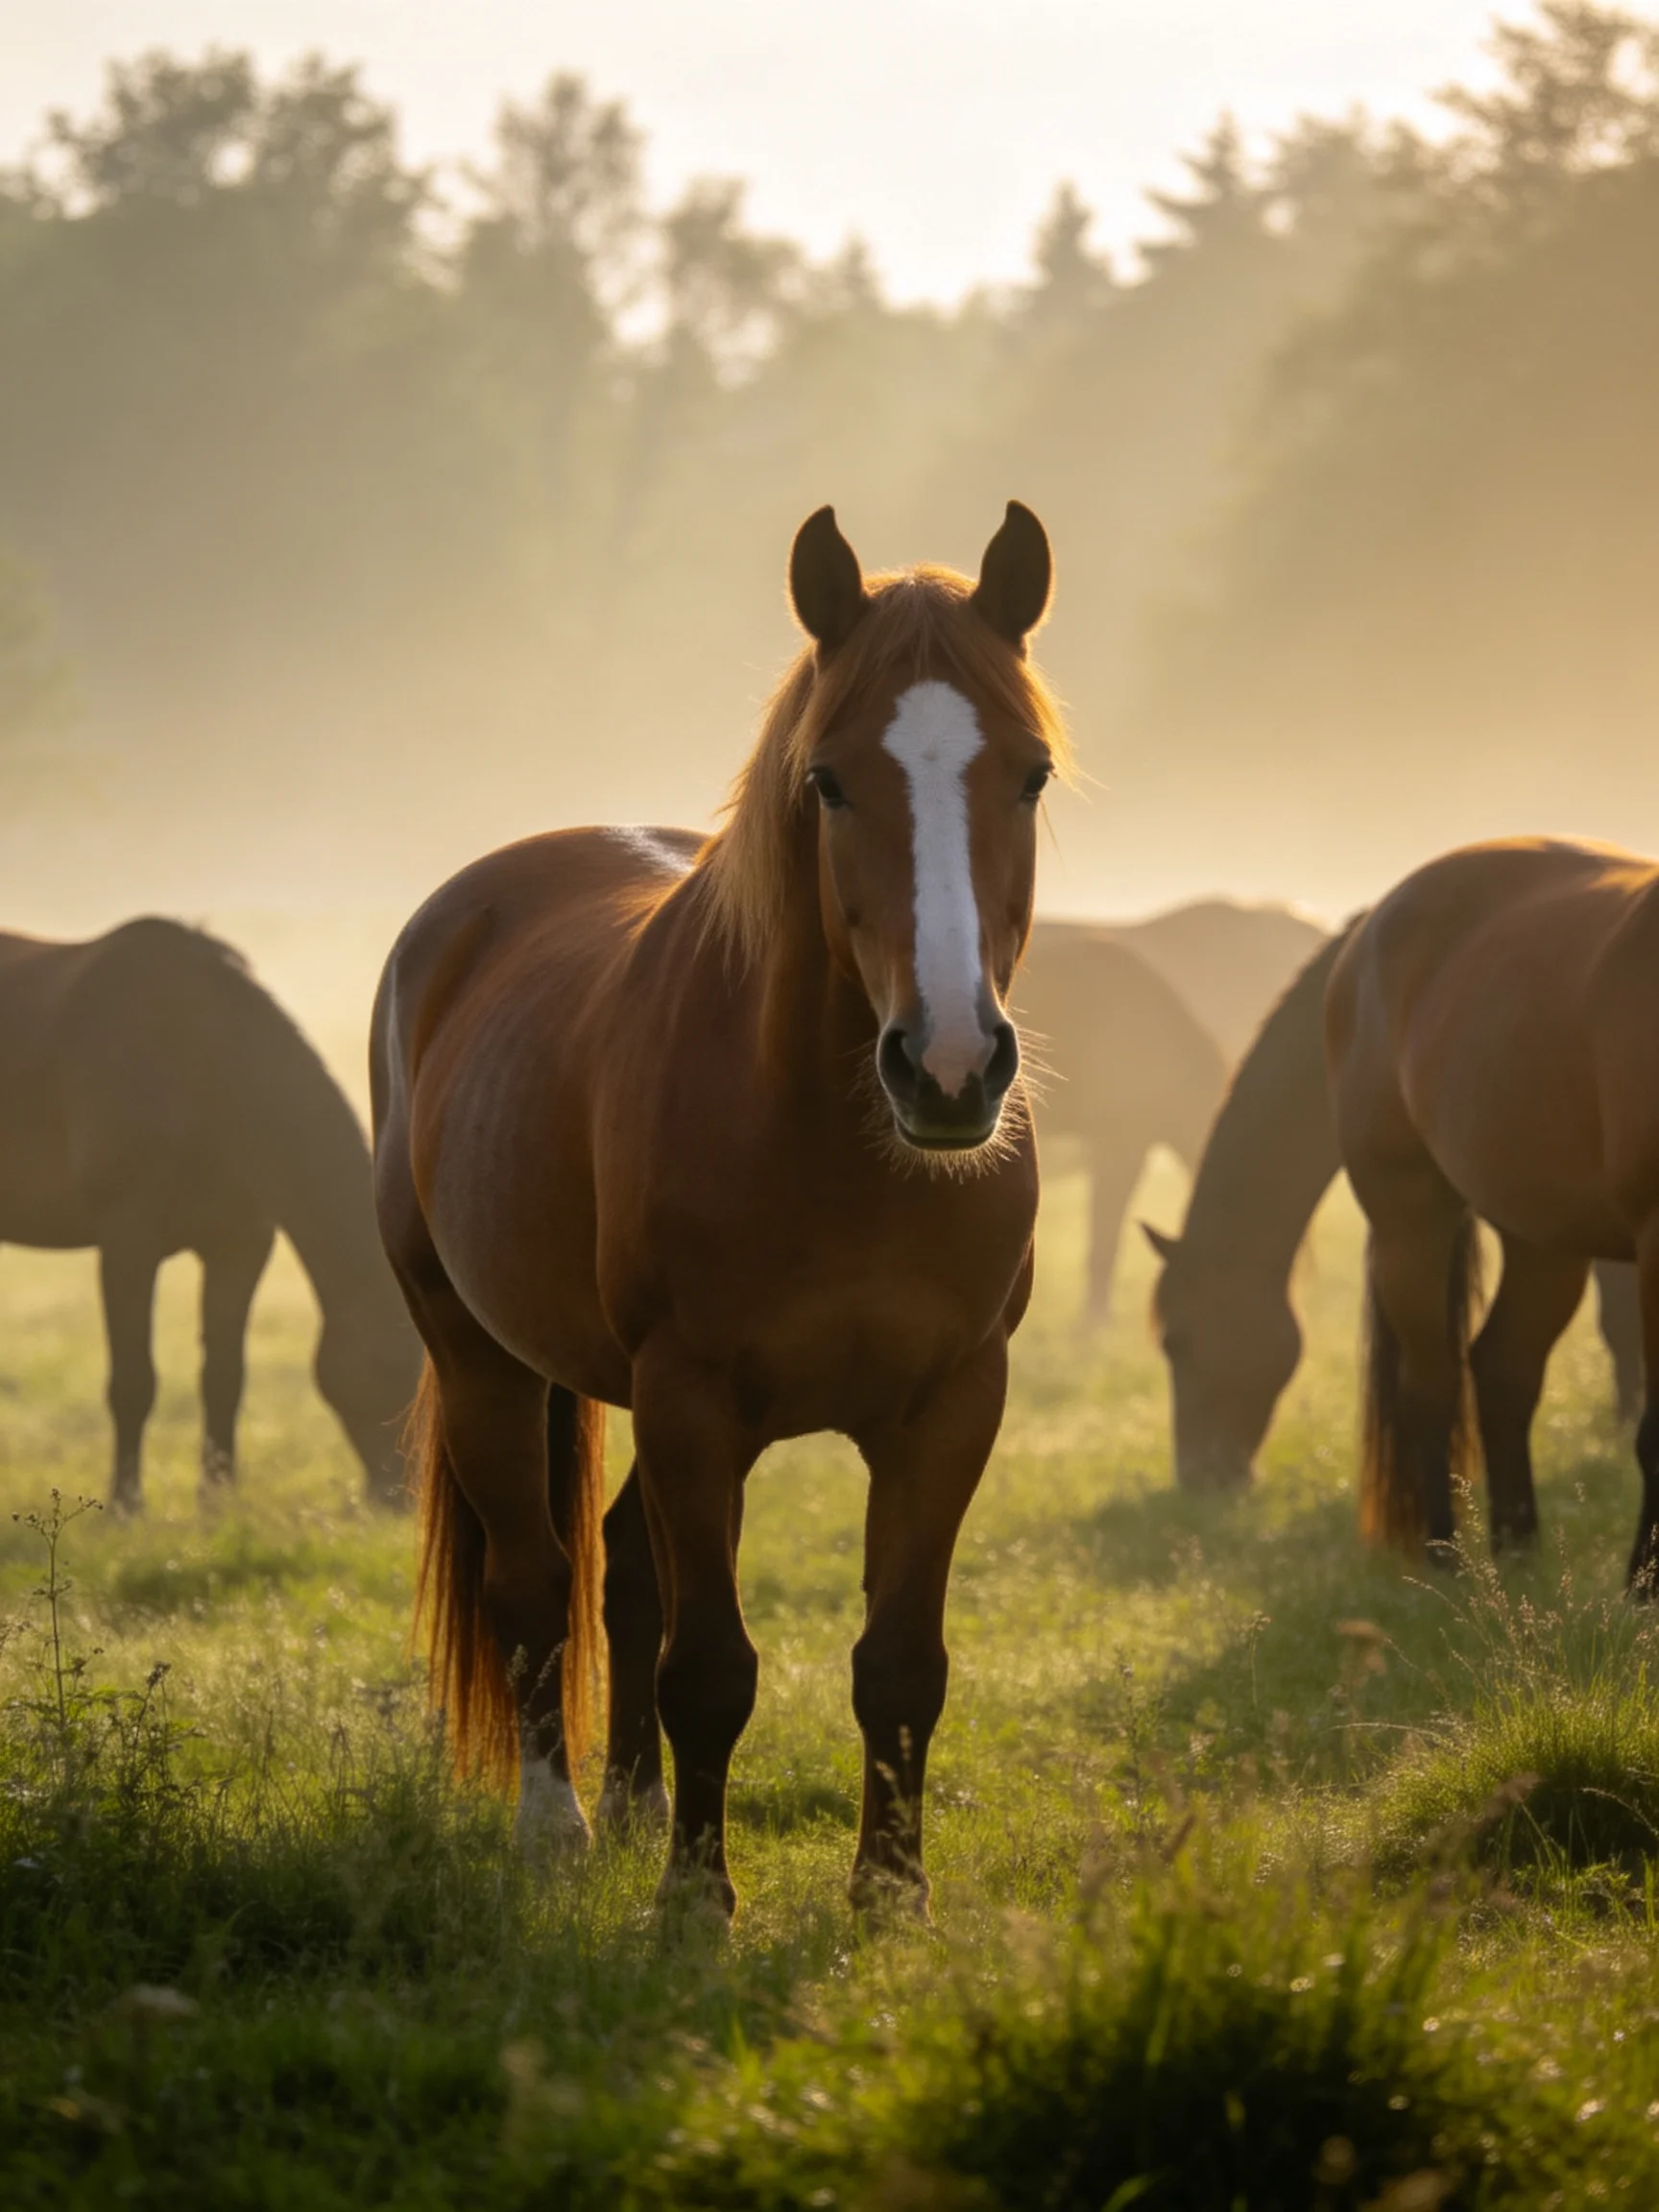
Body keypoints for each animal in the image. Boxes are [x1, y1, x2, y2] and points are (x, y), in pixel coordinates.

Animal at [0, 919, 420, 1513]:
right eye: (388, 1365)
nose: (403, 1498)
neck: (205, 1064)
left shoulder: (242, 1244)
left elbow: (224, 1376)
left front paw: (216, 1501)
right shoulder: (127, 1241)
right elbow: (134, 1381)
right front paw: (125, 1507)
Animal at [371, 502, 1061, 1916]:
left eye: (1029, 776)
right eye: (829, 781)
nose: (950, 1067)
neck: (836, 1152)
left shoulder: (951, 1404)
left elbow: (900, 1662)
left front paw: (890, 1894)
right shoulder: (692, 1398)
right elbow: (710, 1670)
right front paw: (694, 1906)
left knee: (625, 1569)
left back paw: (635, 1803)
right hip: (478, 1356)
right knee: (537, 1586)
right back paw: (561, 1829)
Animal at [1326, 838, 1659, 1585]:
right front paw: (1641, 1588)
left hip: (1546, 1241)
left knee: (1503, 1368)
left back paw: (1519, 1552)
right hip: (1409, 1216)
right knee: (1431, 1381)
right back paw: (1444, 1559)